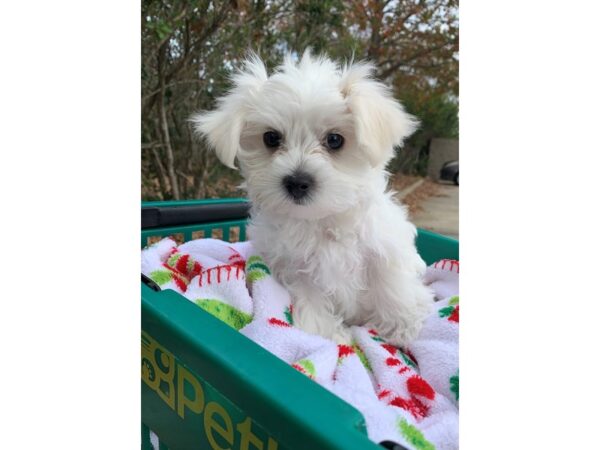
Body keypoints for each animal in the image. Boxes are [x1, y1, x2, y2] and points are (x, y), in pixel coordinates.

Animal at [195, 53, 434, 348]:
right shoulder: (298, 270)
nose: (297, 182)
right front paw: (329, 336)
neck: (321, 219)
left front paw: (402, 327)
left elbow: (391, 282)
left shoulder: (384, 248)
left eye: (335, 140)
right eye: (271, 138)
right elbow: (312, 303)